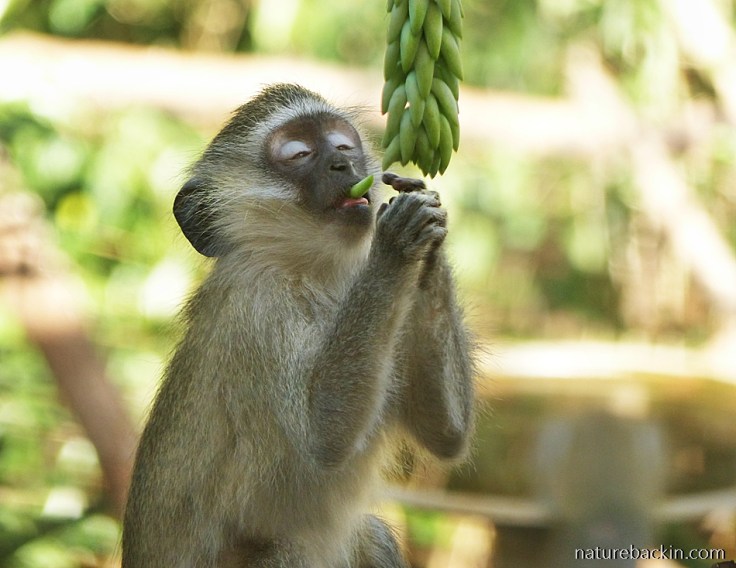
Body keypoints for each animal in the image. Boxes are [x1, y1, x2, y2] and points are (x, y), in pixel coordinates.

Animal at [122, 83, 474, 568]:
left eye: (343, 145)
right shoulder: (256, 306)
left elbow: (445, 433)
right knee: (291, 550)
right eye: (300, 153)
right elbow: (324, 434)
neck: (312, 276)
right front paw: (397, 243)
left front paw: (429, 227)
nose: (343, 166)